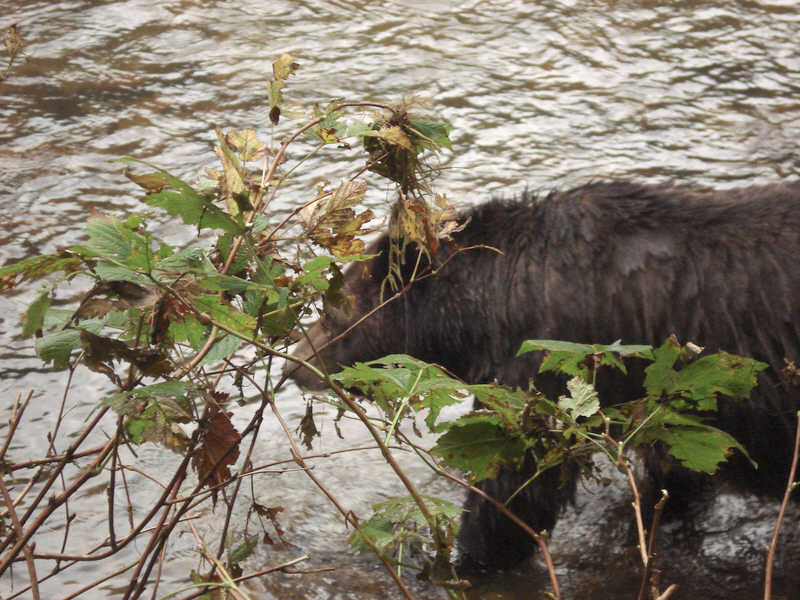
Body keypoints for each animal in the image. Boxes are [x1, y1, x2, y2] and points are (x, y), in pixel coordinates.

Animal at [287, 180, 800, 575]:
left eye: (333, 311)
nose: (294, 365)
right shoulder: (665, 397)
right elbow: (675, 466)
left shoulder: (550, 356)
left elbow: (518, 478)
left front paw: (460, 558)